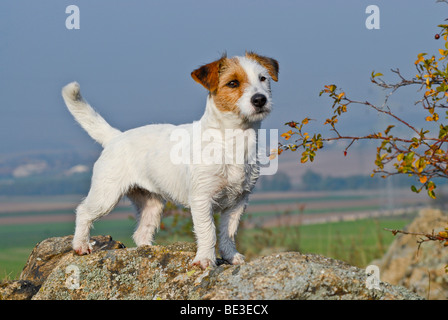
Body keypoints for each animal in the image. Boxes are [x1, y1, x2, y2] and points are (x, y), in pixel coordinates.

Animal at [62, 52, 280, 268]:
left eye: (263, 78)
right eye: (233, 83)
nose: (260, 99)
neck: (232, 139)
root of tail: (116, 137)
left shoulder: (238, 202)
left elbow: (228, 232)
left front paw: (230, 256)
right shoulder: (202, 199)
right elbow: (208, 231)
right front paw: (205, 259)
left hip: (152, 204)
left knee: (141, 233)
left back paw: (148, 252)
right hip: (106, 194)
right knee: (83, 211)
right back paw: (81, 245)